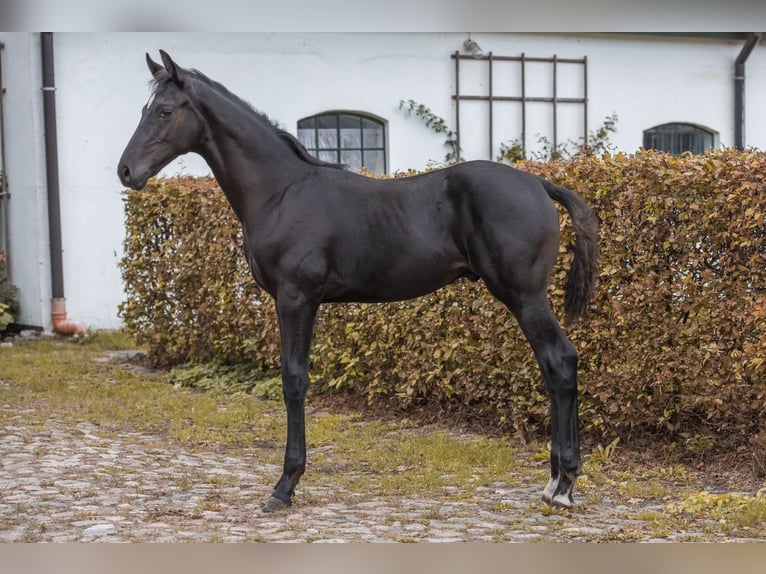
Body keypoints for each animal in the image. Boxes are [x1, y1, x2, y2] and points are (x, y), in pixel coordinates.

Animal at [120, 51, 600, 512]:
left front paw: (285, 486)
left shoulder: (296, 298)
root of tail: (539, 184)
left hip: (524, 296)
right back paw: (556, 481)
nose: (126, 171)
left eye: (164, 110)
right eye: (143, 108)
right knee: (553, 366)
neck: (282, 191)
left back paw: (562, 484)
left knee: (560, 361)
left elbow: (293, 380)